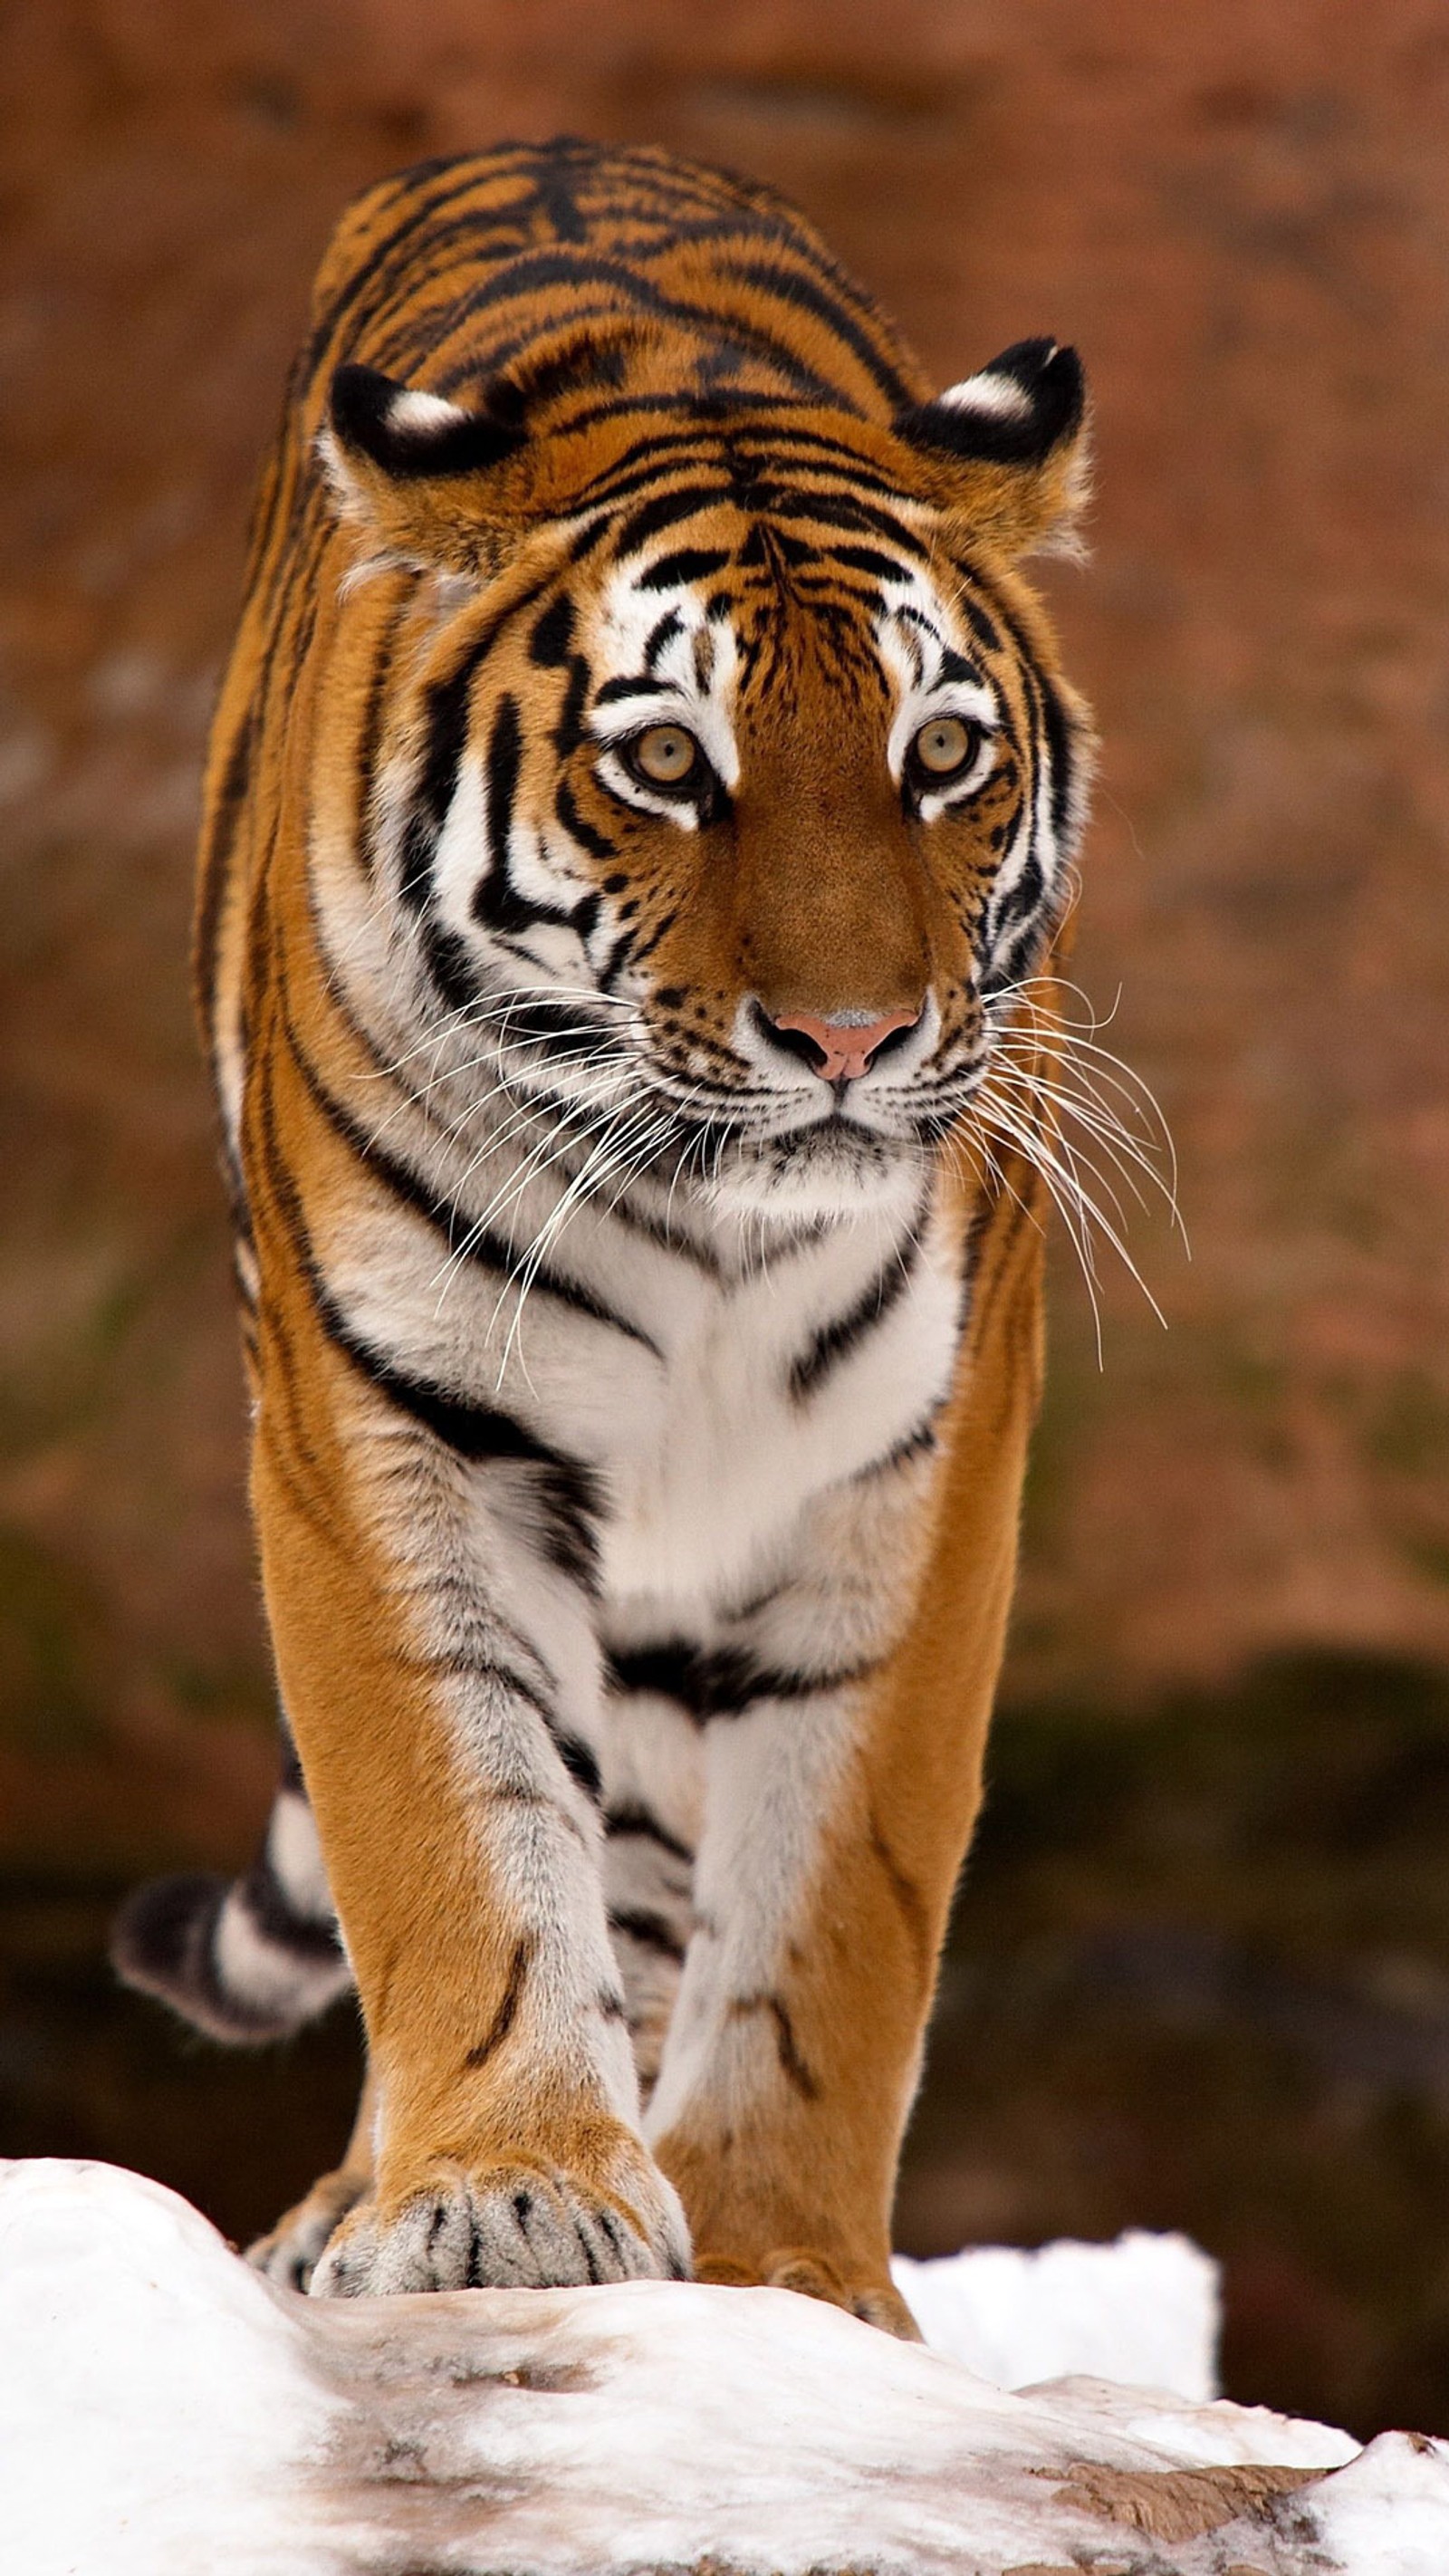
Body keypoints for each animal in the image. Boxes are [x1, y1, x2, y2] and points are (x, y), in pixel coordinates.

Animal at [110, 130, 1090, 2328]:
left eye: (939, 754)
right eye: (663, 763)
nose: (850, 1038)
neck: (704, 1211)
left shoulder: (916, 1459)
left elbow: (836, 1900)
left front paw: (787, 2269)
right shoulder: (389, 1420)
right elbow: (448, 1820)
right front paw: (504, 2189)